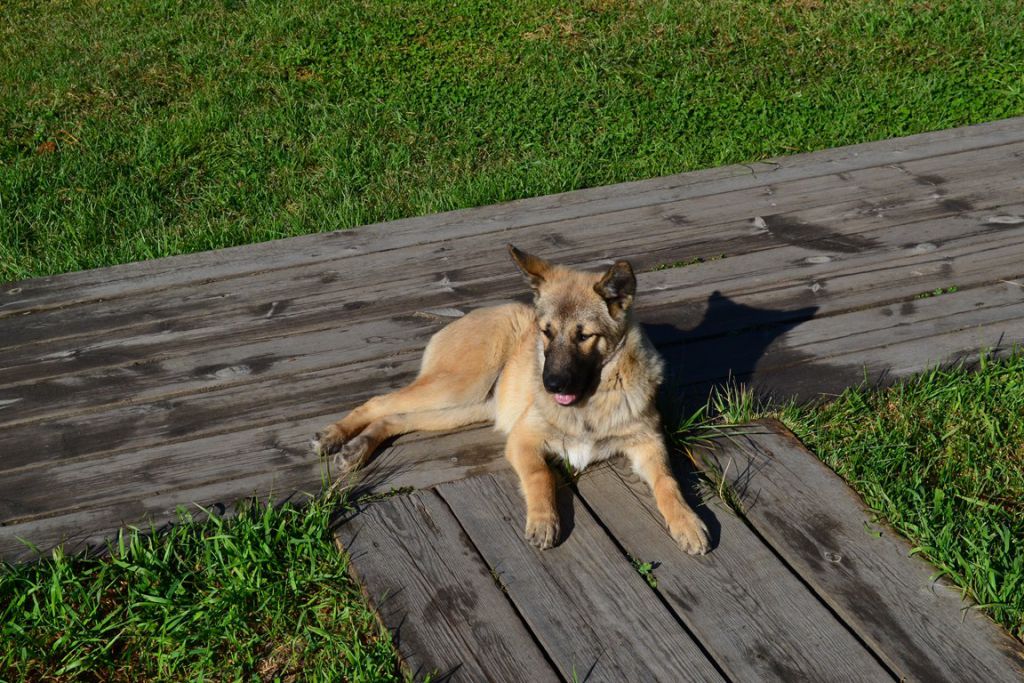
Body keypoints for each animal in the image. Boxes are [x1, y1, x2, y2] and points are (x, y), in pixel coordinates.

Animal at [313, 245, 710, 554]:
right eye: (546, 332)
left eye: (584, 336)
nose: (549, 384)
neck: (591, 401)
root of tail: (468, 316)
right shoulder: (523, 438)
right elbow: (540, 475)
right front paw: (544, 520)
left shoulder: (648, 443)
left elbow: (668, 482)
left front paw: (687, 521)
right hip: (459, 386)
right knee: (380, 401)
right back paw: (335, 435)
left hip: (466, 407)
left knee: (397, 418)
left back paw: (357, 447)